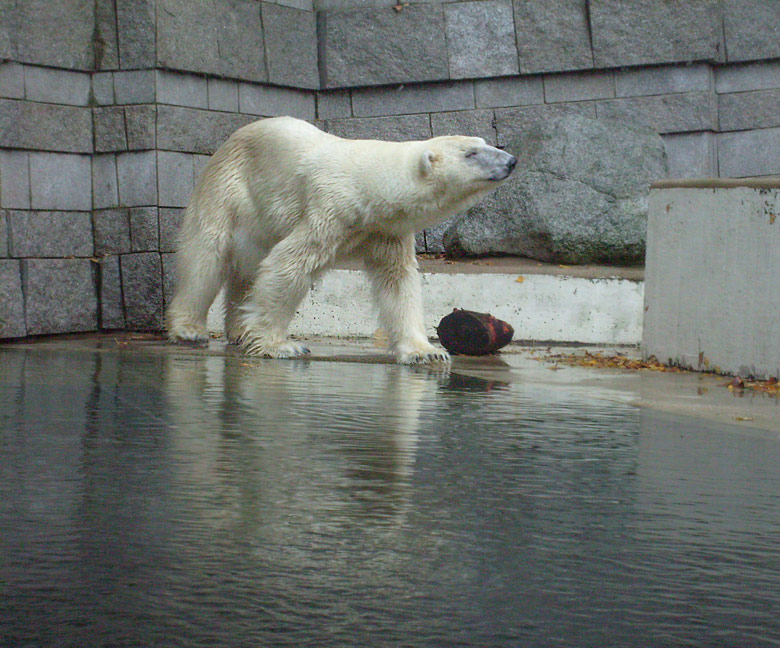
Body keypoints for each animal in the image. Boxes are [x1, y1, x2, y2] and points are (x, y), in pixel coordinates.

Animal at [165, 116, 516, 364]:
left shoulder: (385, 230)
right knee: (206, 257)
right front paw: (281, 346)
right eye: (471, 153)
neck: (370, 184)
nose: (511, 160)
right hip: (228, 188)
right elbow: (288, 264)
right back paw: (189, 330)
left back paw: (239, 330)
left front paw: (425, 352)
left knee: (246, 270)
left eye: (484, 142)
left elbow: (398, 281)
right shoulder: (332, 210)